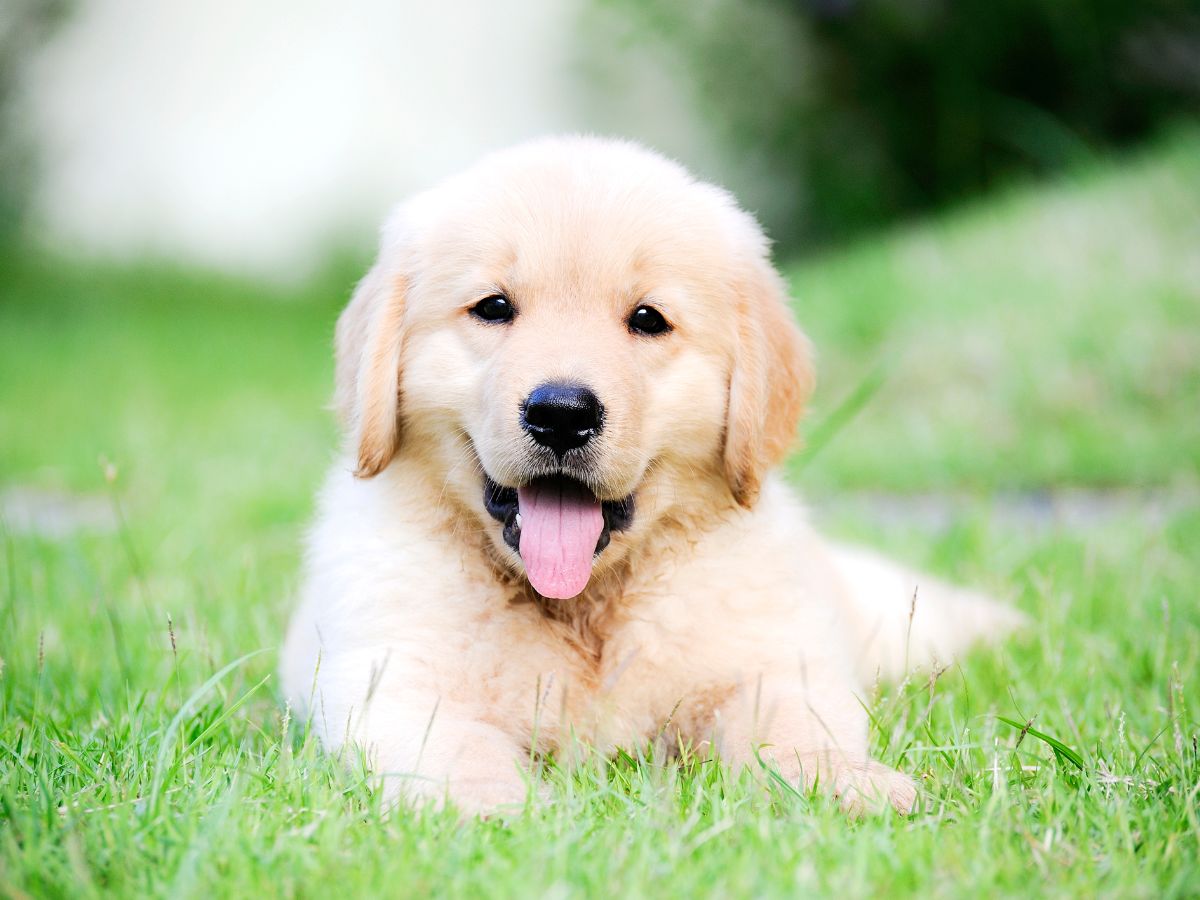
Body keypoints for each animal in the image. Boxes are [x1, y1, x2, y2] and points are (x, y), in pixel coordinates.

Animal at [280, 133, 1022, 816]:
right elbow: (457, 749)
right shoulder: (394, 680)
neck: (584, 607)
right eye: (493, 307)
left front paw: (843, 783)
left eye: (647, 319)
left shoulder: (775, 659)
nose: (561, 414)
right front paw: (503, 815)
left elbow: (791, 726)